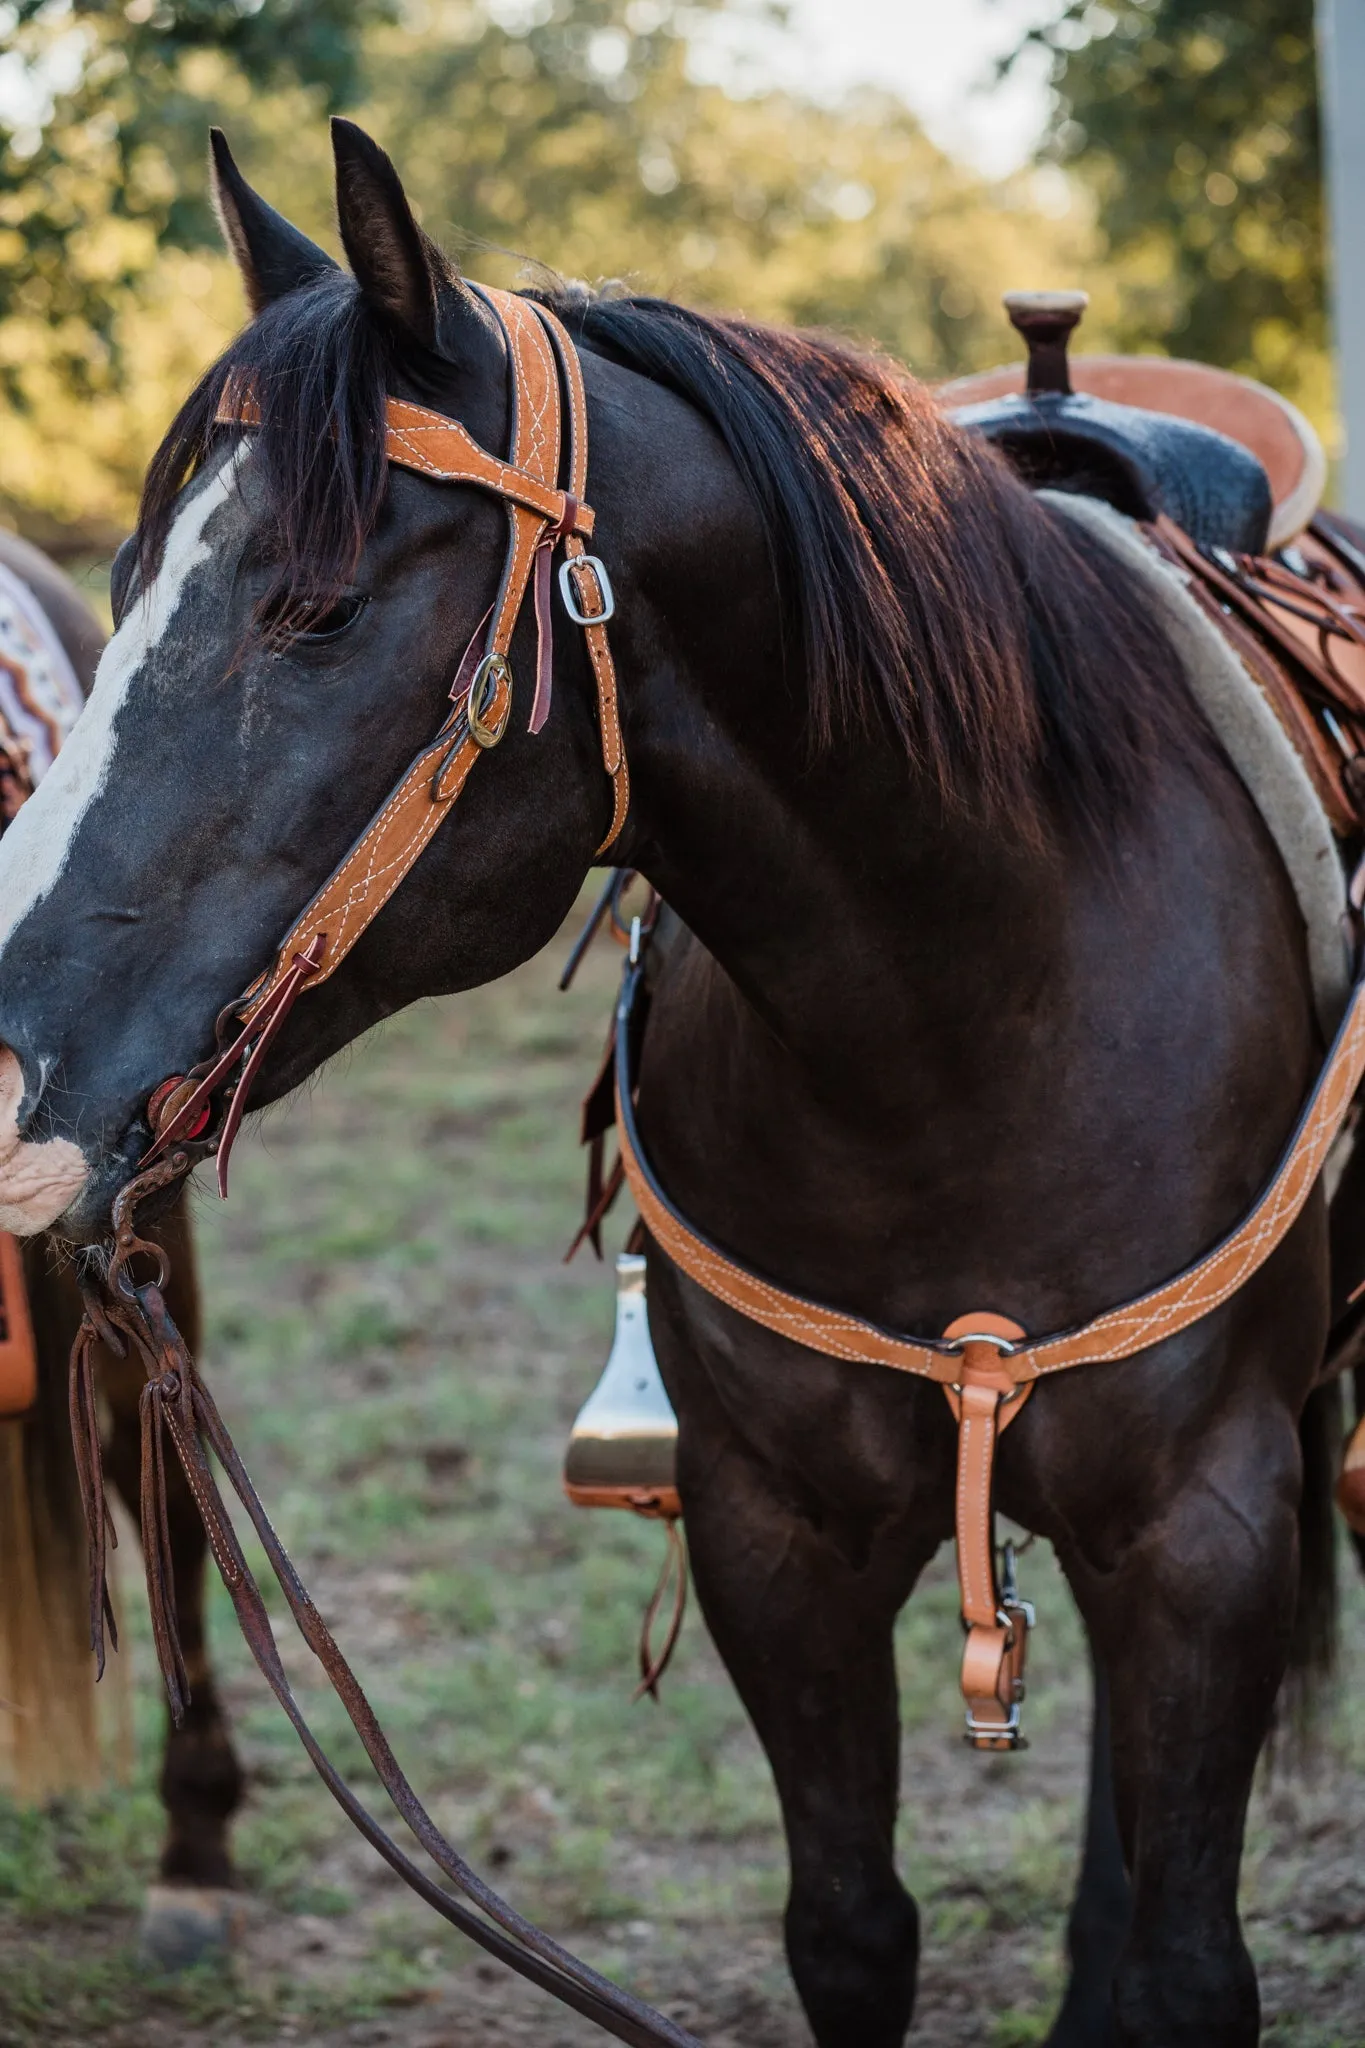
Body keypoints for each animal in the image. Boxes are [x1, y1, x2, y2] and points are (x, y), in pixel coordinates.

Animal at [0, 123, 1350, 2031]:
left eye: (316, 609)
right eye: (117, 593)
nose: (7, 1061)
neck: (974, 1013)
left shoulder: (1211, 1534)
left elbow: (1188, 1965)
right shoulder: (771, 1540)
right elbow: (849, 1929)